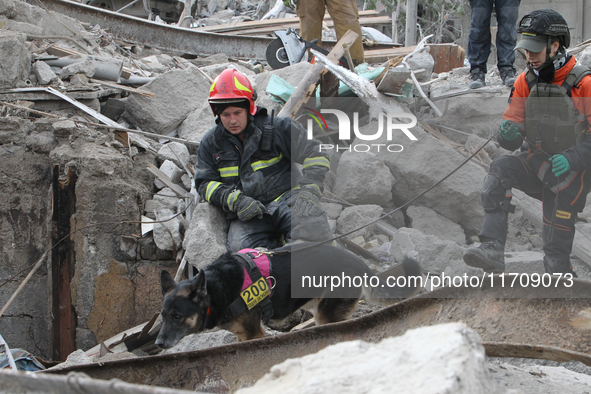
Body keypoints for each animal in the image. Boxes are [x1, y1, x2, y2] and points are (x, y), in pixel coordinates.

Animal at [155, 243, 424, 348]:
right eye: (163, 316)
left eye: (177, 316)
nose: (157, 344)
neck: (216, 289)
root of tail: (360, 263)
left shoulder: (252, 334)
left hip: (327, 316)